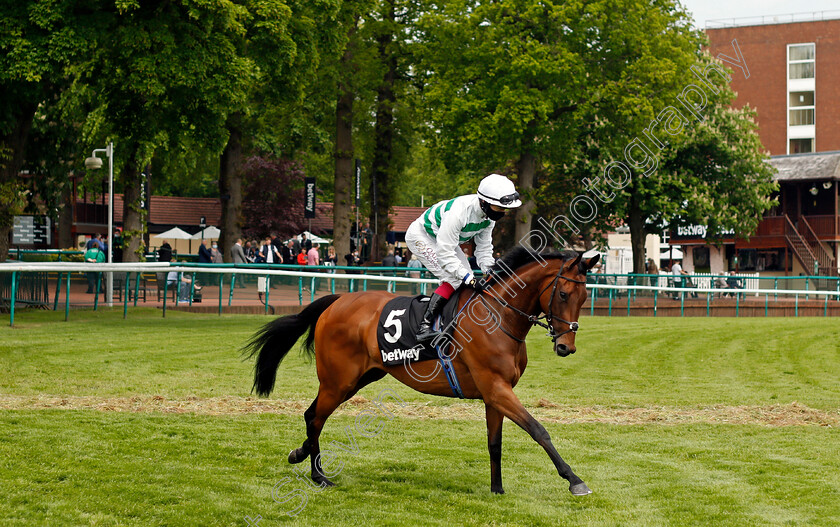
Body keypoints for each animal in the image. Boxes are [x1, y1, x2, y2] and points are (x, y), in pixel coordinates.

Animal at [246, 248, 600, 496]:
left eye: (585, 296)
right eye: (563, 294)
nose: (566, 346)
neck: (499, 316)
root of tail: (336, 301)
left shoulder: (495, 393)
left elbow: (495, 443)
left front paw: (497, 488)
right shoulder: (496, 387)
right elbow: (538, 429)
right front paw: (575, 480)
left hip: (360, 378)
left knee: (312, 415)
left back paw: (300, 454)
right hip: (338, 380)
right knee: (315, 417)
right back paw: (318, 476)